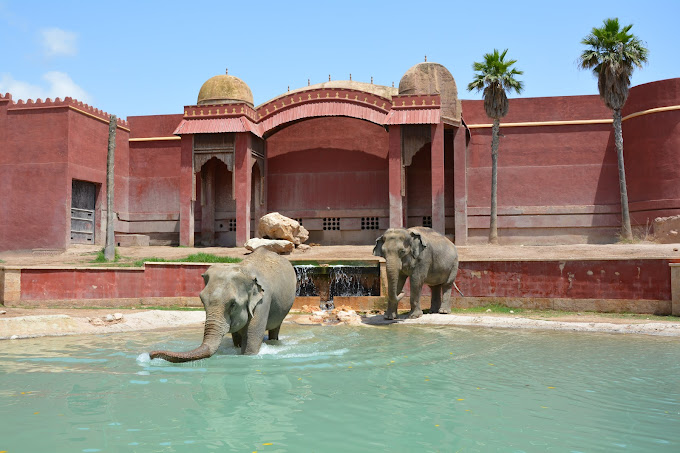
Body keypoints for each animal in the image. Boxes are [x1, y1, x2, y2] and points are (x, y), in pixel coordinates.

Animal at [150, 245, 296, 362]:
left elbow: (252, 341)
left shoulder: (263, 303)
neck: (243, 269)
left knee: (275, 328)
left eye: (233, 304)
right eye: (202, 300)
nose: (151, 354)